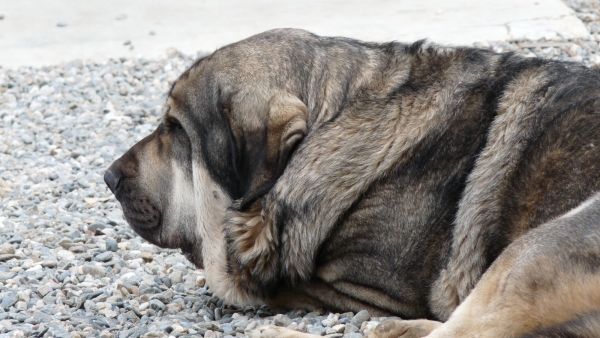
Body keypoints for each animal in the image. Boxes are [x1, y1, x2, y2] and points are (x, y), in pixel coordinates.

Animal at [105, 29, 600, 338]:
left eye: (175, 128)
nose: (108, 177)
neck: (332, 119)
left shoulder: (364, 291)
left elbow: (273, 285)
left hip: (538, 248)